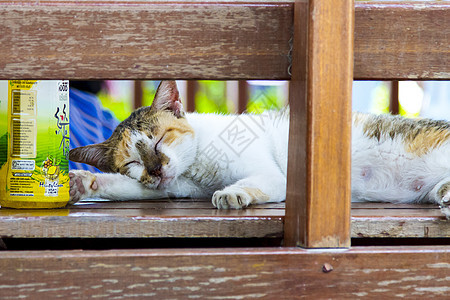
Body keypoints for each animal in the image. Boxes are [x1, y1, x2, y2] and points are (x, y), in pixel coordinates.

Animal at [68, 80, 450, 218]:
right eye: (133, 162)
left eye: (161, 140)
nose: (157, 168)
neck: (197, 169)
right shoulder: (178, 188)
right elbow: (139, 190)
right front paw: (83, 182)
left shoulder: (275, 176)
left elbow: (257, 181)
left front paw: (233, 194)